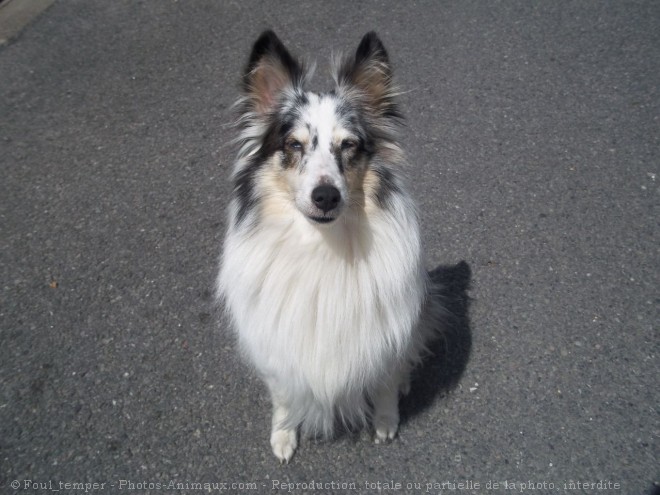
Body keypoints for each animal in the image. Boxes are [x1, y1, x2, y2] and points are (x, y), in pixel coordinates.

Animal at [218, 31, 444, 464]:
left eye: (349, 145)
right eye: (294, 144)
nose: (326, 197)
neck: (322, 246)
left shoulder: (383, 334)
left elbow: (385, 381)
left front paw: (386, 421)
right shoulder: (277, 346)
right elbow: (283, 396)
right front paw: (283, 435)